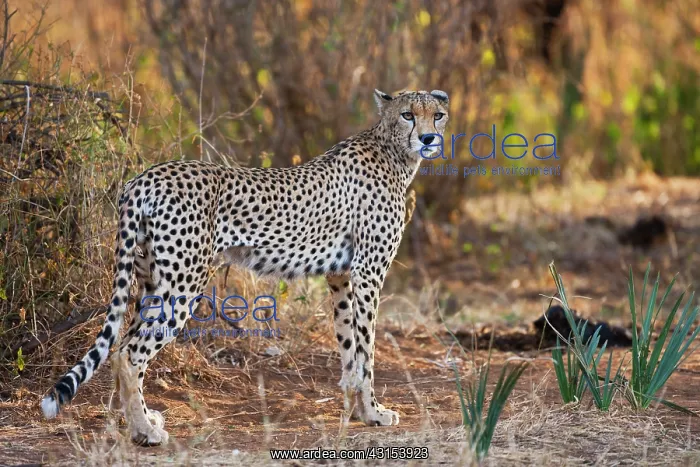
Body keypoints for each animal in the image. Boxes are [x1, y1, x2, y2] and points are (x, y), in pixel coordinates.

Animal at [41, 88, 449, 446]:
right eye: (408, 114)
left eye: (438, 114)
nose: (428, 137)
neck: (392, 150)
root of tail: (144, 177)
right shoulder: (367, 273)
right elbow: (366, 350)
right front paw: (375, 412)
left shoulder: (342, 277)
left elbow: (350, 347)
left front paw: (361, 410)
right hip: (182, 282)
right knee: (129, 353)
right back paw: (145, 433)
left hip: (151, 279)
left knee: (121, 345)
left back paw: (133, 420)